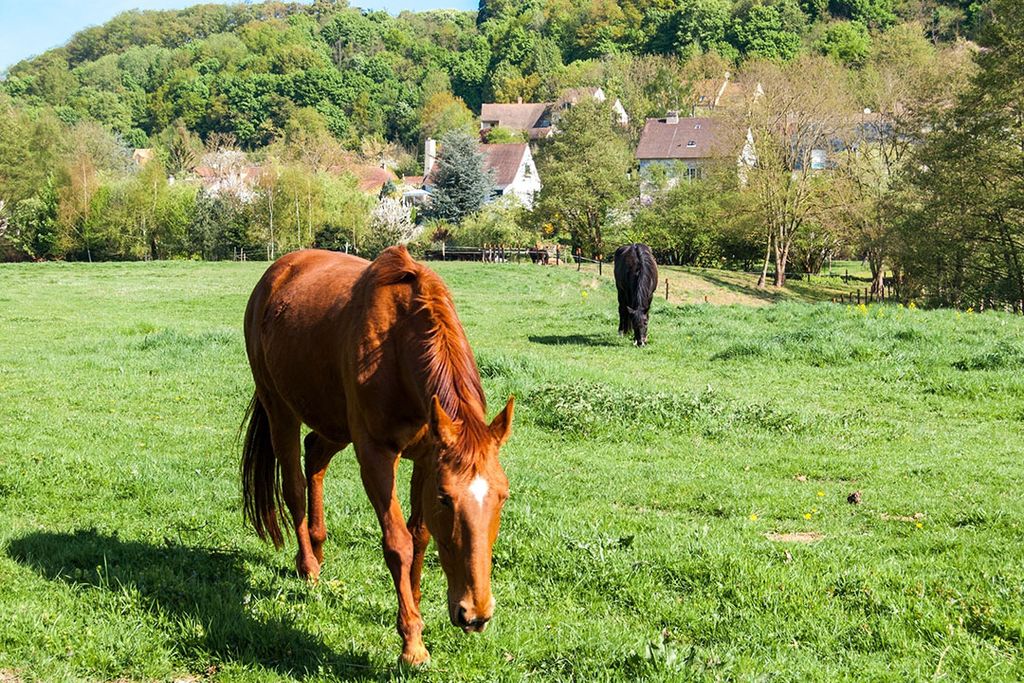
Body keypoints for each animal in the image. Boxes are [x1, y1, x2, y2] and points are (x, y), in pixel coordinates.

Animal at [237, 246, 512, 667]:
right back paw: (308, 565)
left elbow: (420, 537)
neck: (396, 345)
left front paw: (415, 603)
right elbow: (398, 543)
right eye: (446, 499)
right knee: (294, 488)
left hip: (334, 424)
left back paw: (318, 544)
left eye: (503, 496)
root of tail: (277, 271)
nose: (476, 614)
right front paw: (412, 641)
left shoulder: (426, 457)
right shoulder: (376, 455)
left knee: (314, 456)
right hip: (280, 411)